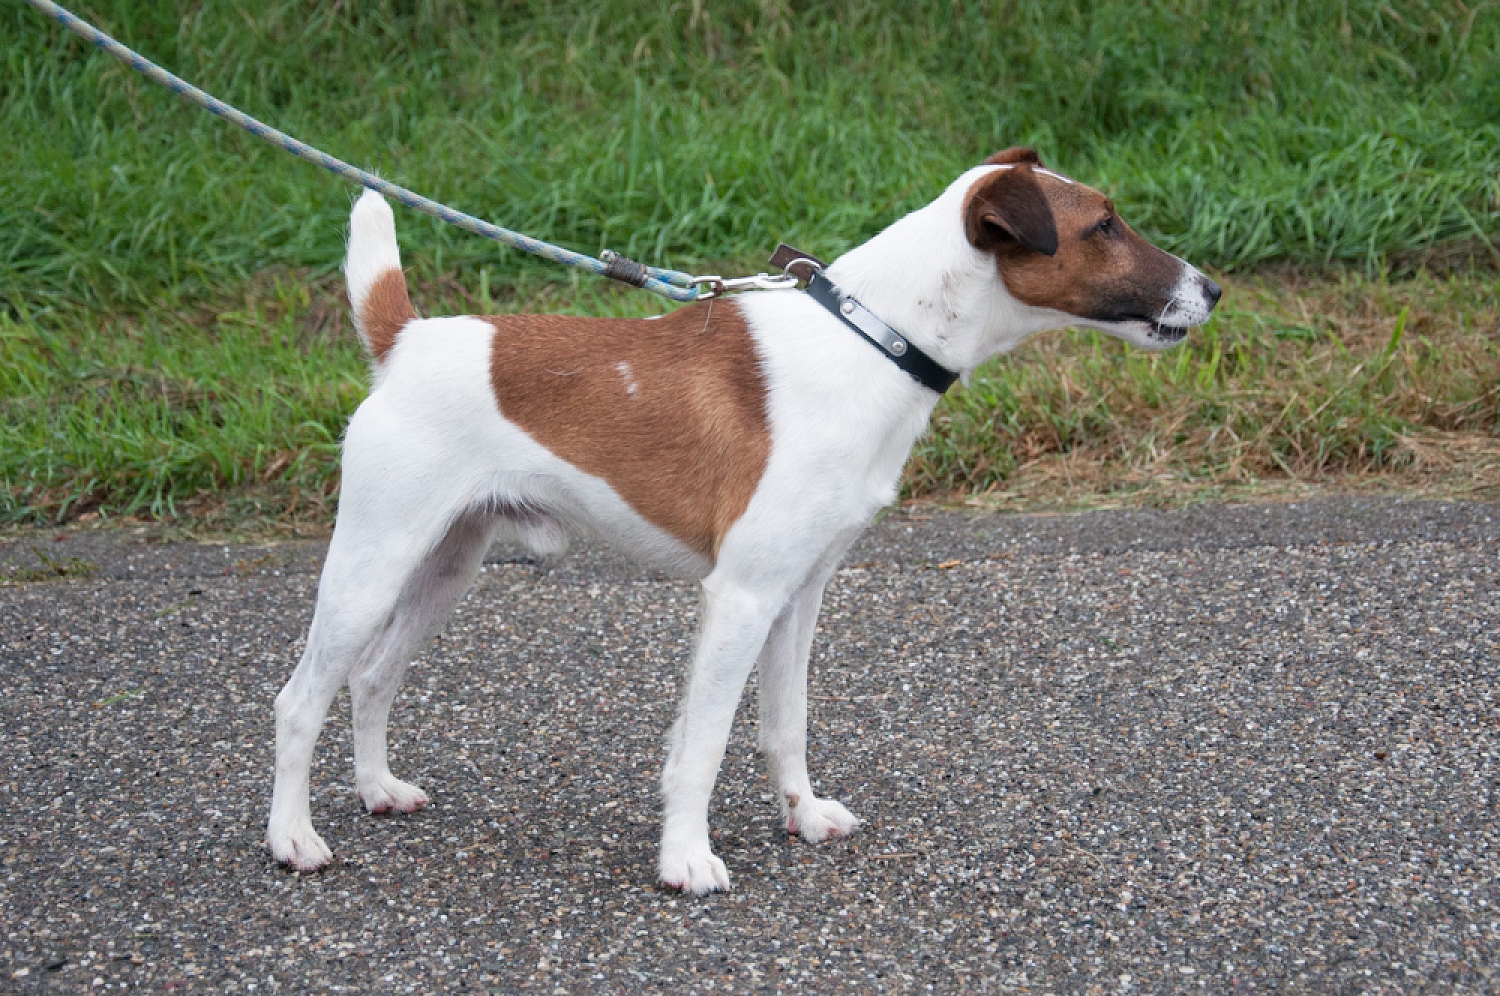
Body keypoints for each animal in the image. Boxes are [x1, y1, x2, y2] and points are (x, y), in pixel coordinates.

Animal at [266, 147, 1220, 894]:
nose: (1212, 288)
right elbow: (704, 744)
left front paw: (803, 814)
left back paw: (378, 790)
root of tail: (404, 341)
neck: (874, 338)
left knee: (373, 677)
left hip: (443, 568)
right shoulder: (741, 597)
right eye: (1104, 225)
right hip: (371, 565)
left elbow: (781, 725)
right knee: (300, 699)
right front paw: (685, 860)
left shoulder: (799, 595)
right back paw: (294, 839)